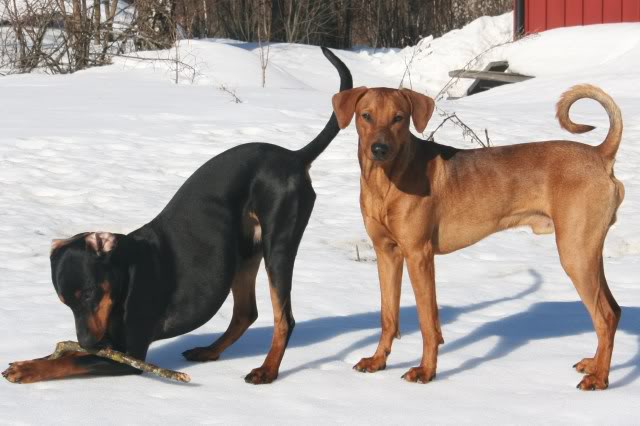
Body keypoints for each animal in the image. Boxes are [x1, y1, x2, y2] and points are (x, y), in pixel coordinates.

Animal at [1, 46, 350, 386]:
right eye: (64, 302)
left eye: (88, 293)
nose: (88, 341)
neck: (126, 274)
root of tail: (294, 157)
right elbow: (63, 353)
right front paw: (28, 361)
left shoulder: (129, 353)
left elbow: (70, 361)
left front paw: (28, 369)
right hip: (245, 251)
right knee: (245, 313)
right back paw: (209, 351)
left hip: (277, 246)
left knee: (284, 319)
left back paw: (267, 370)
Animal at [336, 82, 624, 390]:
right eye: (366, 116)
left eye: (398, 118)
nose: (379, 149)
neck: (385, 182)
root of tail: (600, 154)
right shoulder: (386, 253)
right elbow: (388, 316)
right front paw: (377, 361)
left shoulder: (418, 255)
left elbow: (428, 322)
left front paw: (426, 371)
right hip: (588, 252)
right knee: (614, 310)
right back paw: (594, 365)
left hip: (575, 254)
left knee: (605, 317)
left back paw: (600, 378)